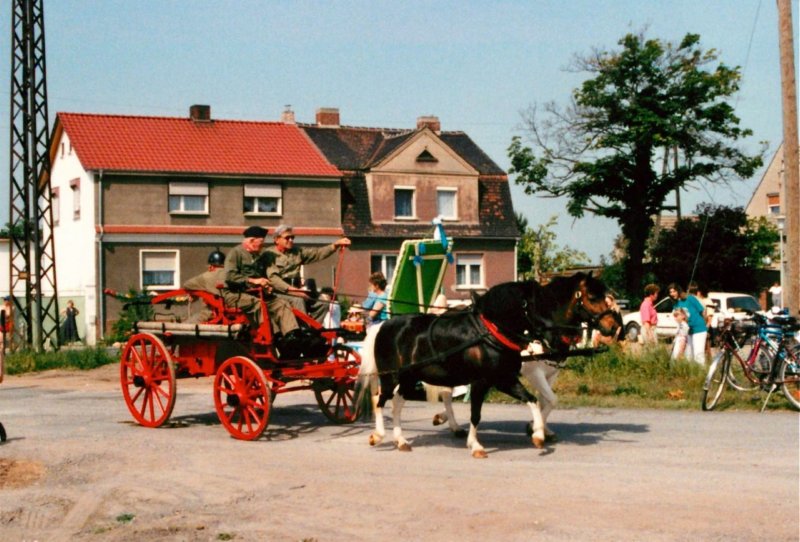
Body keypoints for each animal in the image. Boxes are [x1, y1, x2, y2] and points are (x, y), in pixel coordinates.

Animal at [358, 276, 620, 460]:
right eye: (593, 297)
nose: (614, 327)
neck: (491, 332)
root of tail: (384, 325)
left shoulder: (507, 378)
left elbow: (537, 400)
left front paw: (538, 432)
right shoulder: (493, 379)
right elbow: (477, 413)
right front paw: (477, 445)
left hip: (411, 376)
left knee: (402, 402)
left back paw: (405, 439)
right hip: (392, 376)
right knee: (380, 400)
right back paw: (380, 435)